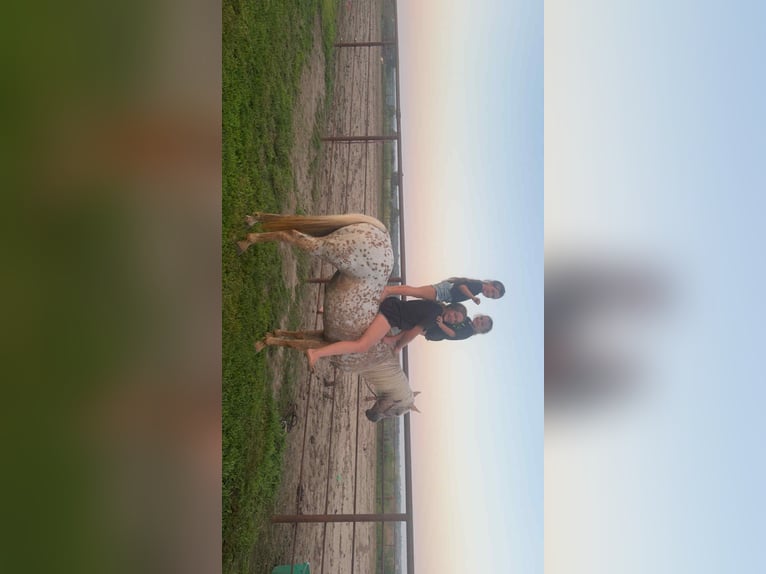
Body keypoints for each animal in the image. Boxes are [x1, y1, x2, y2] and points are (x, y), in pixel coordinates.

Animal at [237, 212, 420, 422]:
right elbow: (295, 344)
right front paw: (261, 344)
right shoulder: (323, 346)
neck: (371, 358)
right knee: (291, 234)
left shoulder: (323, 336)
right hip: (325, 248)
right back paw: (246, 242)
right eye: (397, 409)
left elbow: (297, 336)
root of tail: (382, 233)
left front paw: (270, 336)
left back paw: (251, 223)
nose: (371, 416)